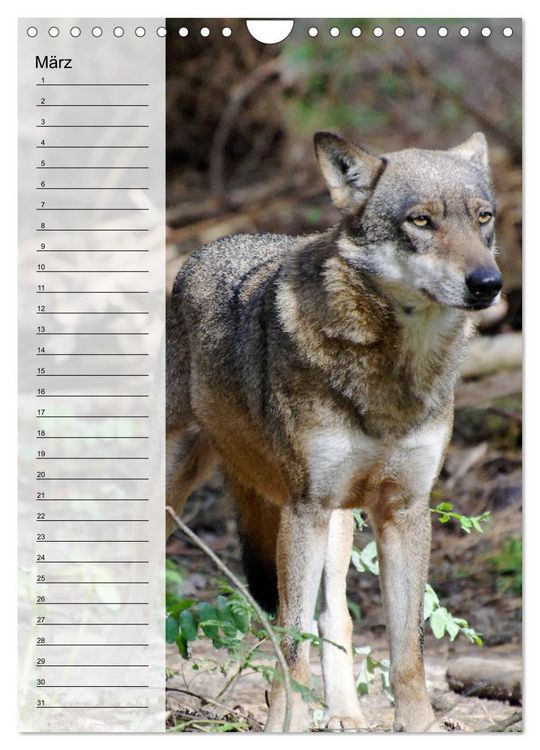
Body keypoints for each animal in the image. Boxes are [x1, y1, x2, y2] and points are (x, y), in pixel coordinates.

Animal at [166, 131, 502, 732]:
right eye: (421, 221)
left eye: (482, 217)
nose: (488, 284)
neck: (394, 375)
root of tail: (207, 248)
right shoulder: (306, 509)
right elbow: (292, 643)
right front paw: (287, 726)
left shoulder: (403, 510)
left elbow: (408, 655)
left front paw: (419, 728)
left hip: (340, 522)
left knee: (336, 618)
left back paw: (344, 714)